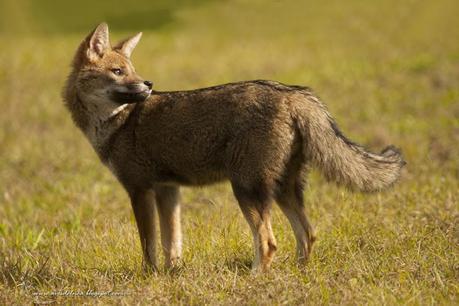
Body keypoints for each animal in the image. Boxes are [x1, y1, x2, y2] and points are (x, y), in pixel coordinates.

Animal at [63, 23, 406, 272]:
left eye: (130, 71)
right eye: (119, 72)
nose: (148, 85)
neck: (119, 122)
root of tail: (292, 93)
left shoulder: (140, 190)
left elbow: (149, 246)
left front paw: (150, 276)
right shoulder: (167, 190)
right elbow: (172, 243)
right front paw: (172, 274)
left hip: (246, 190)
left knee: (268, 243)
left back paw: (255, 279)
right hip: (282, 191)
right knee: (308, 235)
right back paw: (297, 275)